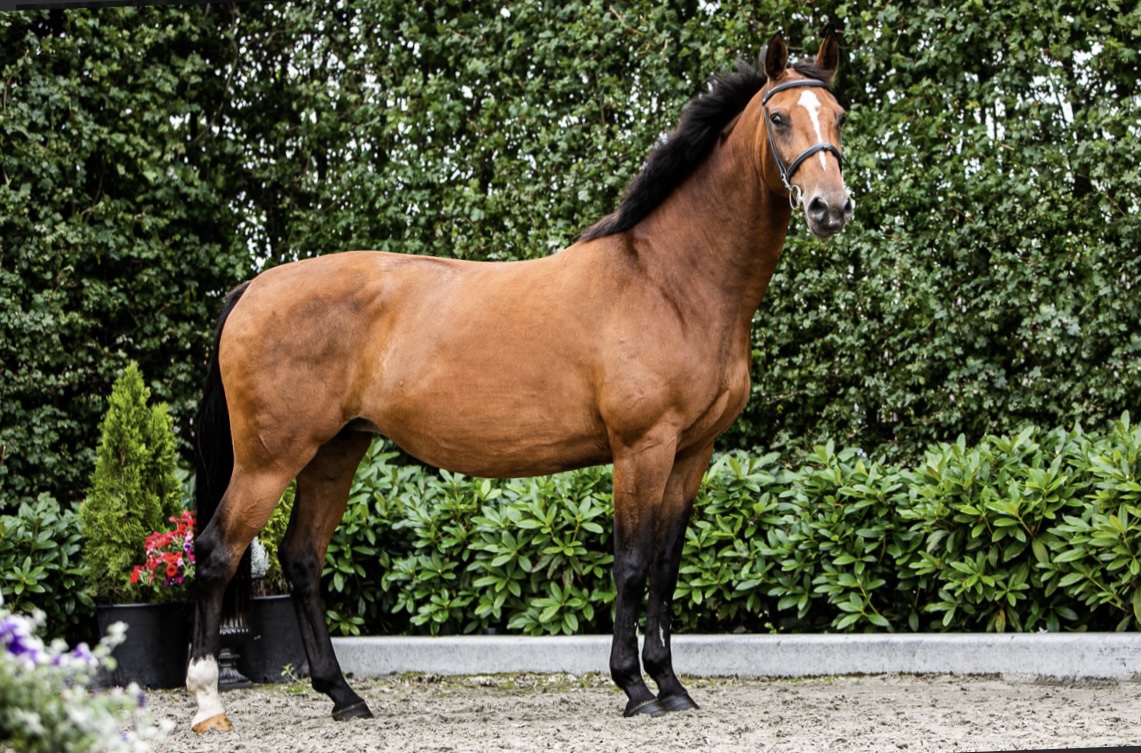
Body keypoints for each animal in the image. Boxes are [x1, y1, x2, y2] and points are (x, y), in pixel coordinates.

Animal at [189, 32, 848, 730]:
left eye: (838, 117)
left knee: (302, 558)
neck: (668, 281)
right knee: (216, 554)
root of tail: (252, 288)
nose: (830, 207)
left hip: (335, 450)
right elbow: (631, 564)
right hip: (269, 460)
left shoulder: (694, 450)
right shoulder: (643, 447)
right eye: (778, 118)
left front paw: (671, 686)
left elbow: (666, 568)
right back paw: (209, 702)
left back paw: (344, 696)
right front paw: (635, 688)